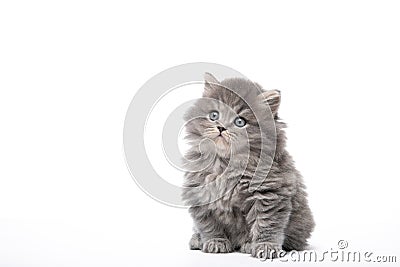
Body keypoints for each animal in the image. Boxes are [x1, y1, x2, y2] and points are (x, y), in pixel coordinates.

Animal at [181, 73, 316, 260]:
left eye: (240, 121)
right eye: (214, 115)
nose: (221, 127)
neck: (225, 165)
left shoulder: (270, 194)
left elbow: (266, 224)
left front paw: (265, 247)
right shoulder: (199, 191)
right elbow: (208, 224)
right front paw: (215, 241)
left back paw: (246, 244)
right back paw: (197, 239)